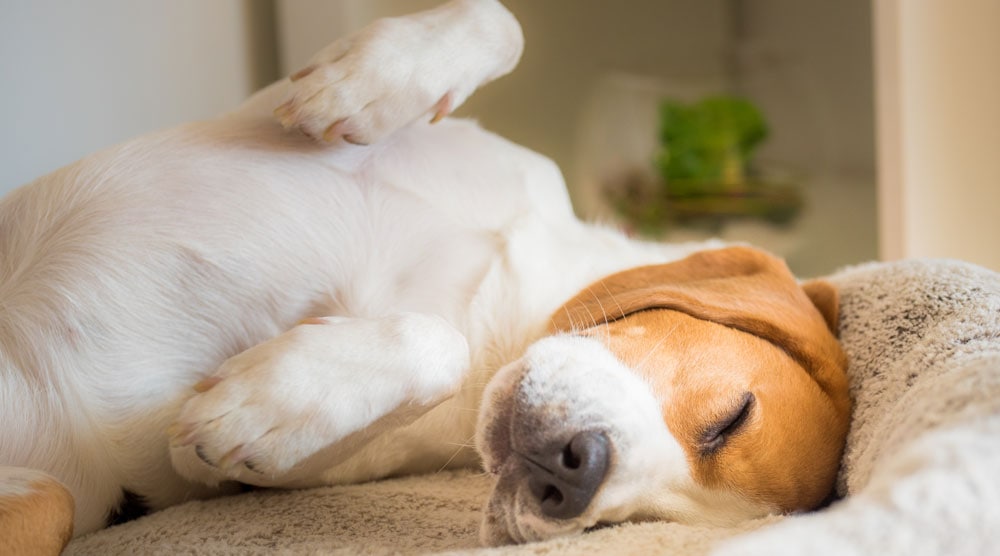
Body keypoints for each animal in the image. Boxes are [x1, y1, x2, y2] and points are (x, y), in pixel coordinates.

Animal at [0, 1, 852, 552]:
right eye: (731, 417)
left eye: (632, 524)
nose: (575, 478)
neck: (508, 300)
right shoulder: (253, 110)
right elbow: (500, 22)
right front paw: (365, 81)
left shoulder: (223, 478)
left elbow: (433, 344)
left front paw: (260, 407)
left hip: (53, 501)